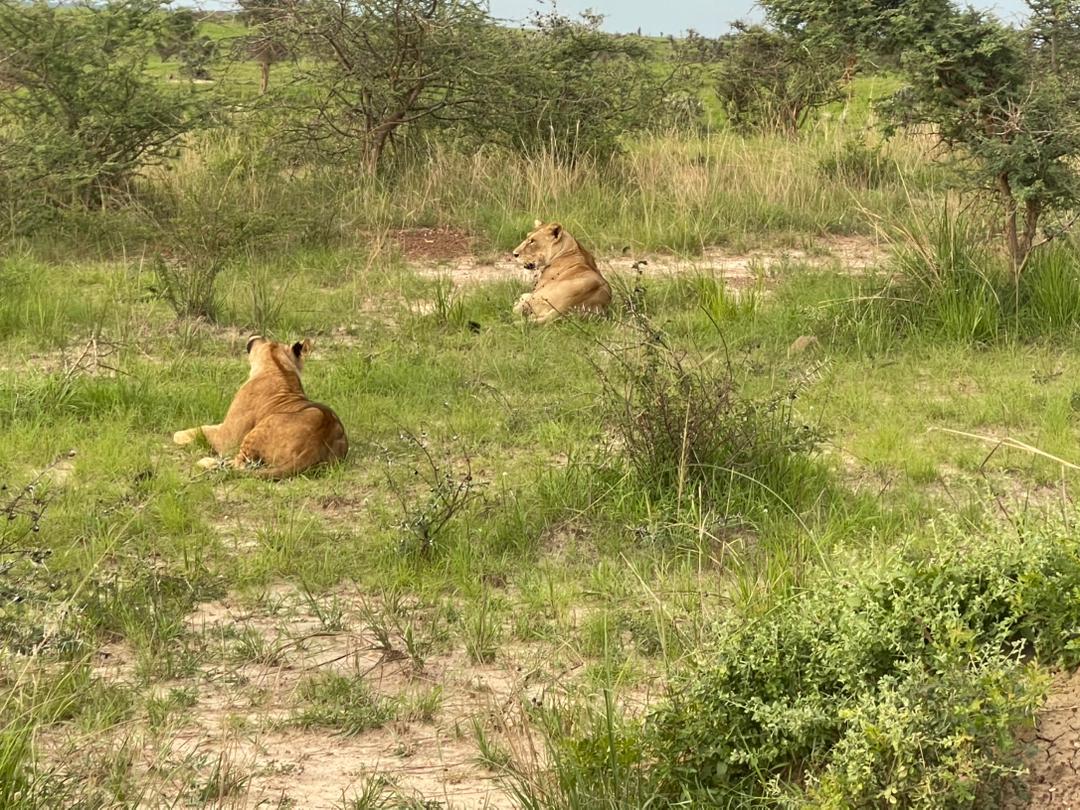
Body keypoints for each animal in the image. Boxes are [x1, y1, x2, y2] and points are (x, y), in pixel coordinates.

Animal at [173, 336, 348, 479]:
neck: (278, 366)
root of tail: (315, 446)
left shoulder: (227, 437)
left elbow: (202, 429)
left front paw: (178, 435)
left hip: (258, 432)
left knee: (238, 465)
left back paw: (205, 462)